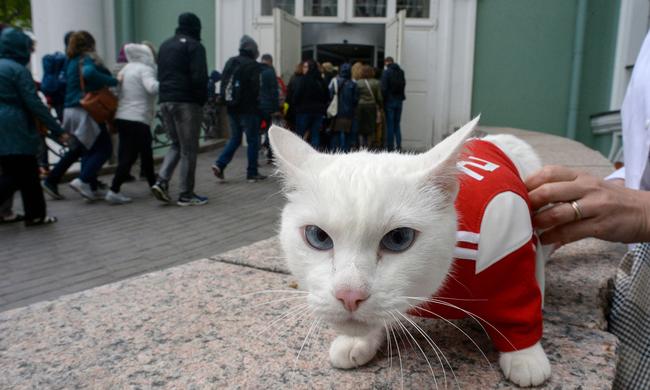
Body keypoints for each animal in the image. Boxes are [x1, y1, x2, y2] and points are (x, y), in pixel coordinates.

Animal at [266, 117, 548, 388]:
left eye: (399, 238)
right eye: (318, 237)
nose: (349, 295)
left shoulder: (511, 255)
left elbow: (520, 307)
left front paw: (525, 356)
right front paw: (357, 341)